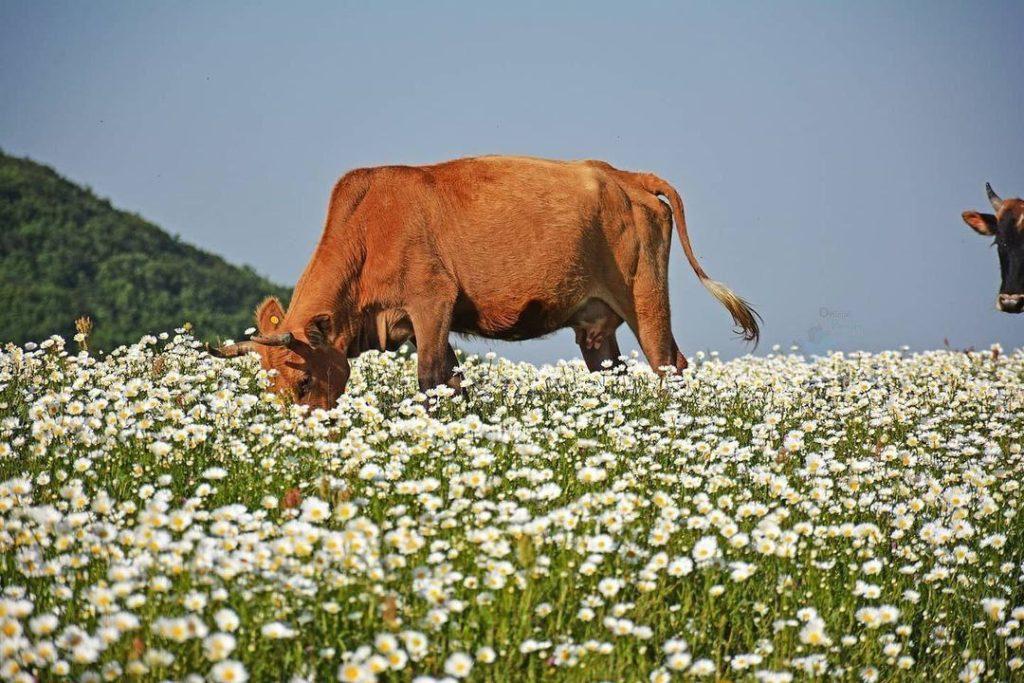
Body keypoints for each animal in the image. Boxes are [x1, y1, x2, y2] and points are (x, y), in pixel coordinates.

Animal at [211, 157, 761, 409]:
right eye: (269, 385)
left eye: (303, 381)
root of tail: (621, 174)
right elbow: (455, 380)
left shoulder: (432, 301)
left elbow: (431, 379)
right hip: (596, 322)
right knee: (614, 372)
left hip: (645, 299)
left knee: (670, 364)